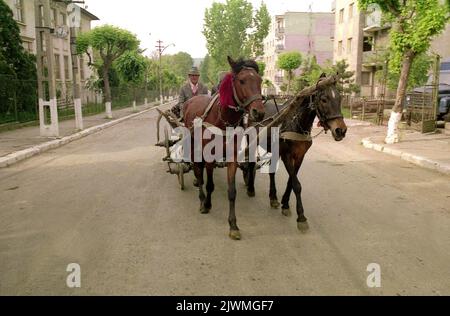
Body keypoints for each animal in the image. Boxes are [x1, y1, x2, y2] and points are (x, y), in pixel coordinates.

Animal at [184, 56, 266, 239]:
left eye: (260, 80)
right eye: (242, 81)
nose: (259, 112)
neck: (223, 119)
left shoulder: (232, 158)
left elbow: (232, 192)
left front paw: (233, 225)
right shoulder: (209, 157)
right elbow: (210, 184)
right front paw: (207, 204)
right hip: (192, 144)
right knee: (198, 170)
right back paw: (201, 197)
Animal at [244, 74, 346, 232]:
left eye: (340, 98)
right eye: (324, 99)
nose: (341, 130)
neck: (297, 123)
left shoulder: (299, 156)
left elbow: (291, 182)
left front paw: (285, 204)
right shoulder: (286, 155)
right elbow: (296, 184)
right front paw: (301, 217)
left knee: (271, 172)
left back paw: (273, 197)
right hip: (253, 142)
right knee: (250, 164)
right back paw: (250, 187)